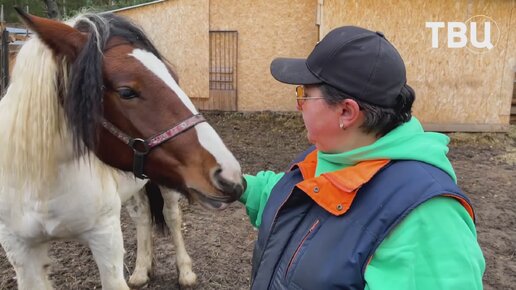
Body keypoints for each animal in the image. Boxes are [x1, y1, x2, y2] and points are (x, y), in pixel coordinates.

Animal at [0, 9, 245, 290]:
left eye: (175, 77)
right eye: (127, 91)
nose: (229, 176)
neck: (41, 188)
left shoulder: (105, 239)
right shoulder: (21, 253)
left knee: (172, 217)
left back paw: (185, 272)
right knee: (142, 217)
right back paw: (141, 270)